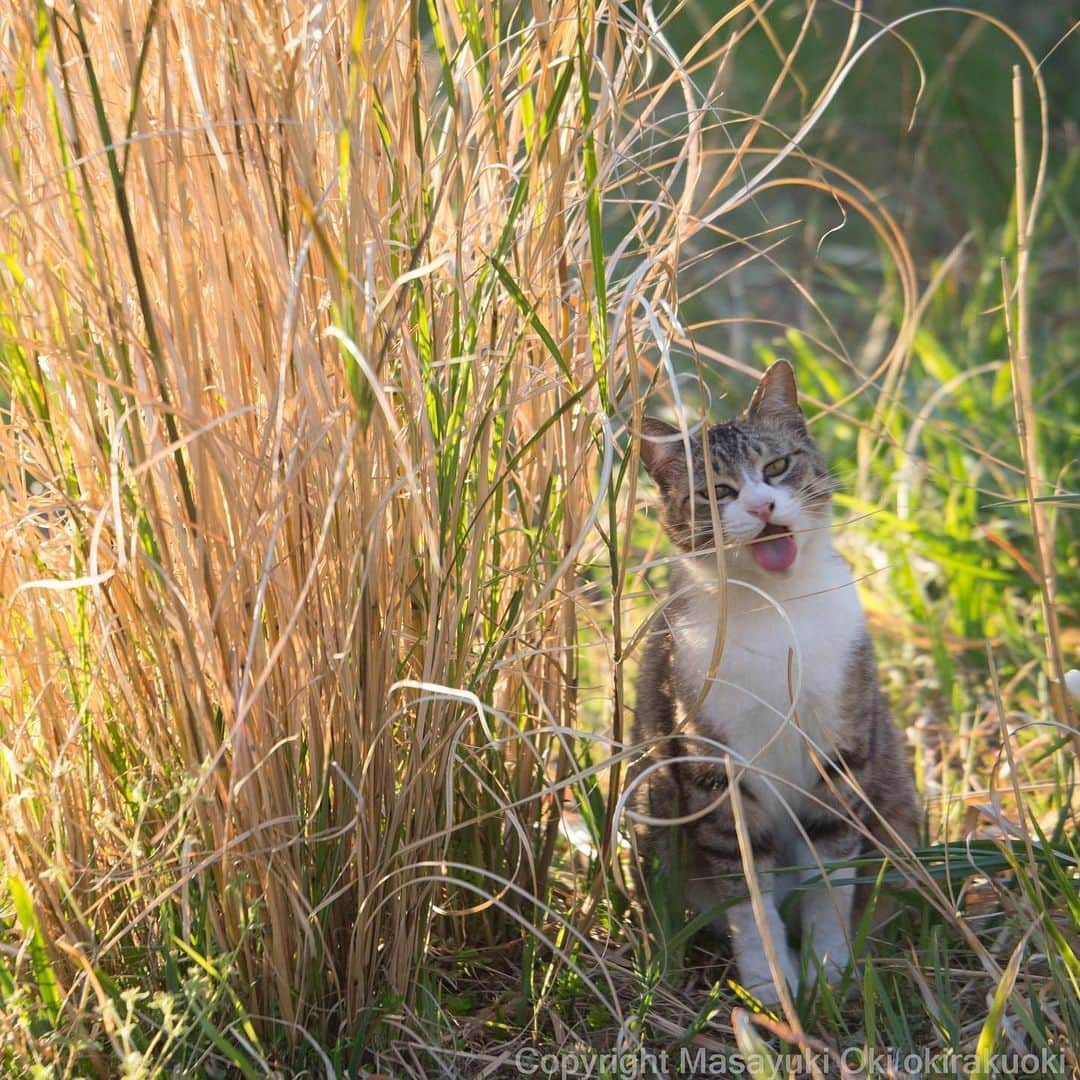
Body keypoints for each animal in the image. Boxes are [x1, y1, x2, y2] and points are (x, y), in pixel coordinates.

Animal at [630, 362, 920, 1002]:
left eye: (777, 467)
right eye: (716, 493)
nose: (763, 508)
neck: (777, 608)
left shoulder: (842, 749)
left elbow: (828, 876)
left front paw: (828, 969)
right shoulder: (713, 767)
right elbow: (746, 893)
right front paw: (770, 982)